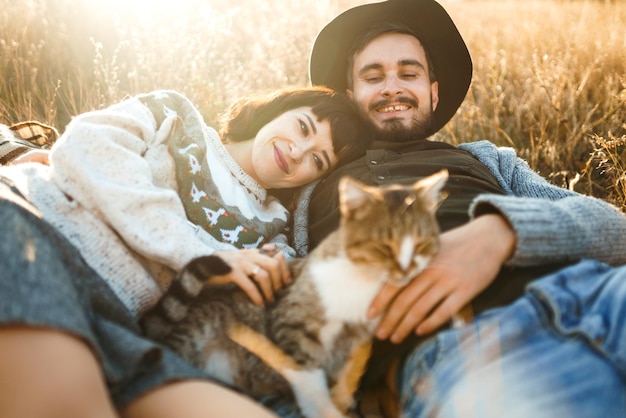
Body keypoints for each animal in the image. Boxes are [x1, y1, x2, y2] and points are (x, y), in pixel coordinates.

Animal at [140, 168, 446, 418]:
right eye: (383, 247)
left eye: (422, 244)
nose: (406, 270)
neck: (363, 286)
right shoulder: (294, 327)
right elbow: (309, 378)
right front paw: (325, 411)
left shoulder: (357, 341)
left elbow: (347, 375)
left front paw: (342, 401)